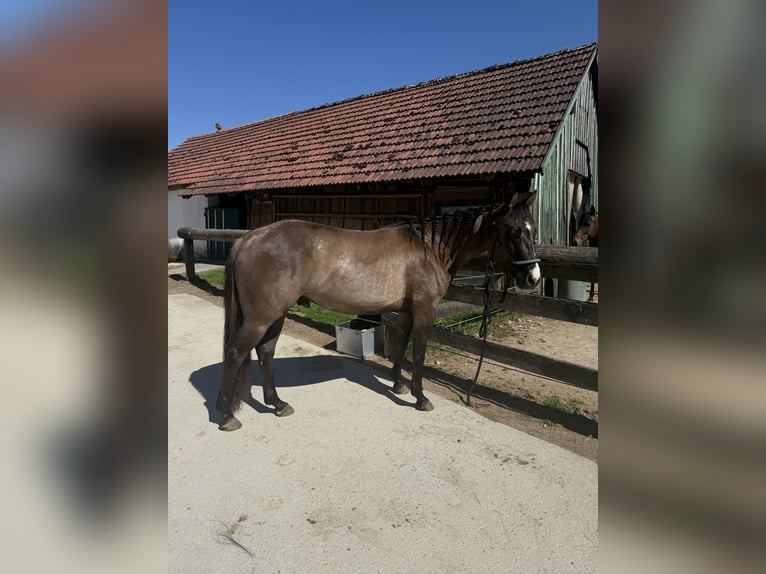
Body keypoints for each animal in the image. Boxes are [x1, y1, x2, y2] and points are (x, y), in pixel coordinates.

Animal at [216, 191, 541, 431]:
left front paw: (398, 385)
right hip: (260, 318)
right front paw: (420, 397)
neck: (430, 247)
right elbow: (419, 353)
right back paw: (228, 417)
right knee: (236, 352)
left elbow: (402, 346)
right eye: (511, 231)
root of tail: (247, 239)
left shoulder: (407, 311)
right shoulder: (426, 309)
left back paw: (277, 404)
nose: (533, 277)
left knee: (265, 352)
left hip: (275, 315)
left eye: (532, 230)